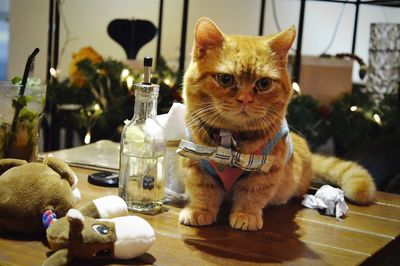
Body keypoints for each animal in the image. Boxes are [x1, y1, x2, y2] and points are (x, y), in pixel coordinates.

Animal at [178, 17, 376, 232]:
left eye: (264, 83)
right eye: (225, 79)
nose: (245, 99)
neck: (230, 141)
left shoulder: (267, 170)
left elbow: (252, 195)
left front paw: (246, 215)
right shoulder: (194, 161)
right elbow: (203, 191)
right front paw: (199, 211)